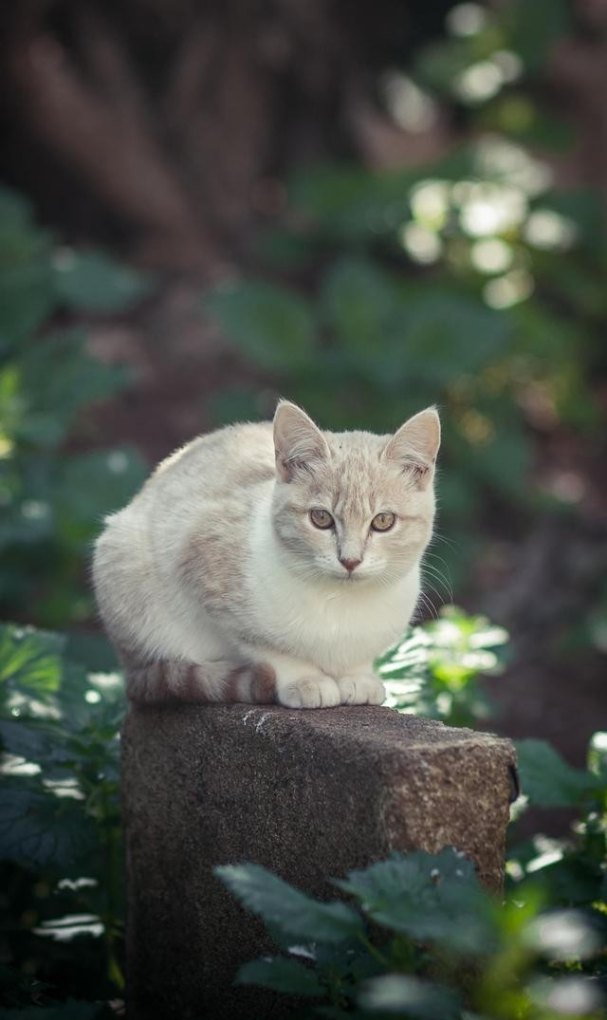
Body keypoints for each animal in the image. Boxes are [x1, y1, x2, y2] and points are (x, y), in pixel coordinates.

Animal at [92, 397, 438, 709]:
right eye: (321, 518)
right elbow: (270, 649)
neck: (341, 604)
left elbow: (357, 660)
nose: (350, 560)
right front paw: (306, 680)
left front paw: (358, 678)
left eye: (383, 521)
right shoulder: (202, 559)